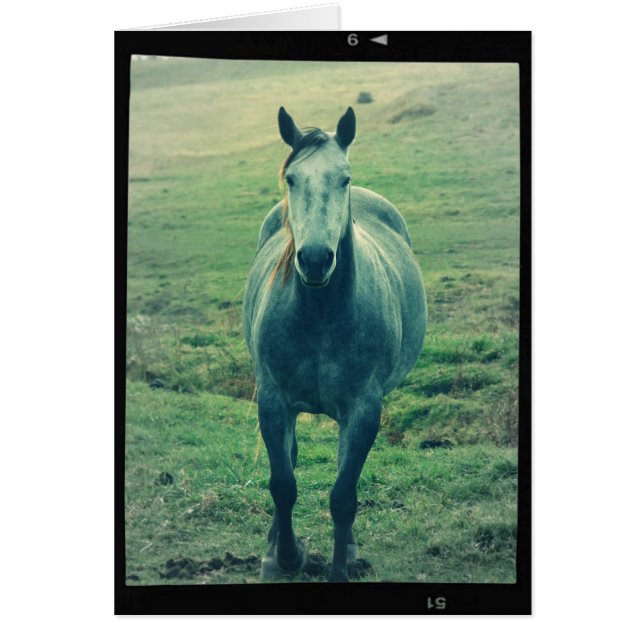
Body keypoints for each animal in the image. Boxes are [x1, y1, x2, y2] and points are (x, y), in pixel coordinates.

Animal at [242, 106, 427, 582]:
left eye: (343, 178)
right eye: (291, 179)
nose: (314, 259)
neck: (320, 315)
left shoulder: (363, 410)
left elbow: (344, 496)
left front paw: (340, 569)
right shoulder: (273, 400)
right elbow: (283, 483)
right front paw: (286, 557)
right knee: (288, 460)